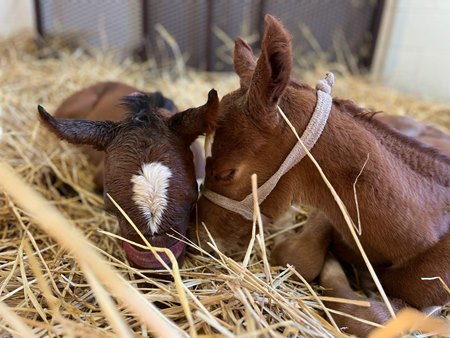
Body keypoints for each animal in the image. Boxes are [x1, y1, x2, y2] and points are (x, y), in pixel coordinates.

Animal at [191, 15, 450, 336]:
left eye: (227, 173)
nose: (197, 235)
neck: (422, 233)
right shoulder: (330, 210)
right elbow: (299, 256)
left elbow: (372, 317)